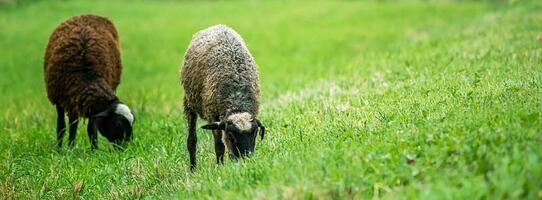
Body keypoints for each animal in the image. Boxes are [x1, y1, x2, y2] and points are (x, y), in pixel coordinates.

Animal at [43, 14, 135, 149]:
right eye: (117, 125)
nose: (125, 148)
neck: (86, 75)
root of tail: (86, 15)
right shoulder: (60, 99)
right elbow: (61, 127)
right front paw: (61, 149)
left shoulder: (90, 108)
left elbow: (91, 130)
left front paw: (94, 150)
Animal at [182, 23, 266, 170]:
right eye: (231, 135)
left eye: (255, 134)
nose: (245, 159)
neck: (236, 100)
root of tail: (217, 25)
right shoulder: (212, 114)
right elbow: (219, 146)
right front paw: (220, 167)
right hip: (189, 102)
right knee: (191, 140)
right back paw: (193, 169)